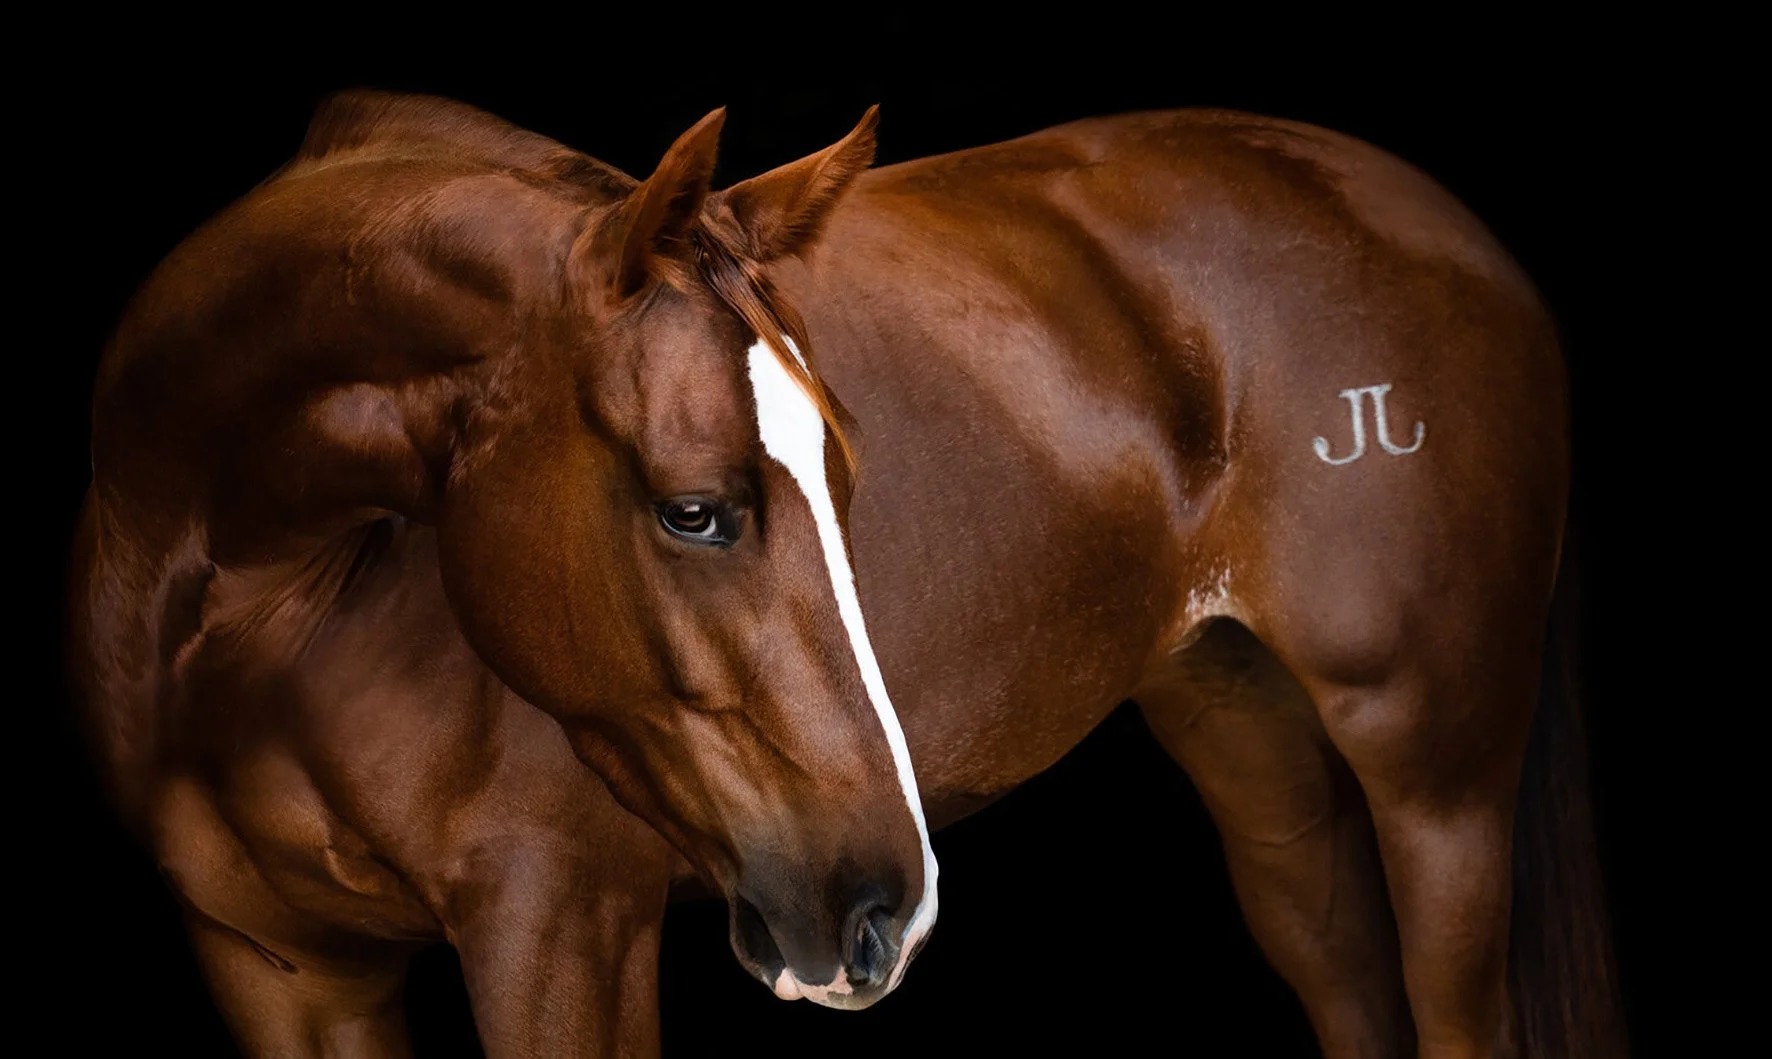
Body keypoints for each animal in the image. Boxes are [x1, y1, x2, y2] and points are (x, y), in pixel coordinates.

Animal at [69, 89, 1621, 1057]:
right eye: (695, 510)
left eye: (849, 480)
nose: (888, 903)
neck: (253, 615)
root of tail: (1446, 227)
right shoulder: (280, 970)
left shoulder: (561, 936)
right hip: (1254, 748)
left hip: (1434, 777)